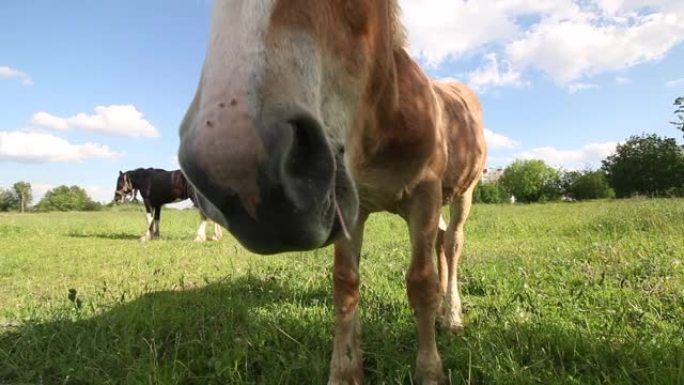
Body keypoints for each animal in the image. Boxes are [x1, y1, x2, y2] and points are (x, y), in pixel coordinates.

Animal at [176, 2, 486, 380]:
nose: (238, 172)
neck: (385, 122)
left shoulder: (424, 196)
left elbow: (421, 284)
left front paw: (430, 372)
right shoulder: (350, 206)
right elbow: (345, 284)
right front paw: (345, 369)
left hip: (462, 195)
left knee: (453, 243)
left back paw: (452, 316)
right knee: (441, 241)